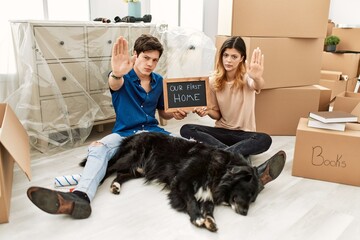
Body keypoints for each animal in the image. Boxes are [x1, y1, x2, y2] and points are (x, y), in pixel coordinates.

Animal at [83, 132, 260, 232]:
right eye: (248, 193)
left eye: (253, 199)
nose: (245, 213)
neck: (220, 169)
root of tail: (133, 135)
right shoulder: (182, 181)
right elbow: (191, 200)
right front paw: (197, 217)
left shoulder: (207, 192)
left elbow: (209, 208)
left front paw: (210, 221)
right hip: (131, 157)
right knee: (110, 167)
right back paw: (101, 181)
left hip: (140, 169)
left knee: (121, 175)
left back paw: (115, 186)